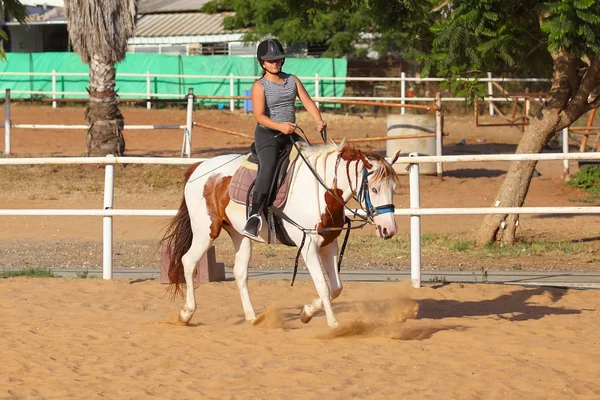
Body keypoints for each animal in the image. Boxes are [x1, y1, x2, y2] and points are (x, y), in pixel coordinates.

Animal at [162, 141, 400, 328]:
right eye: (374, 189)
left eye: (393, 188)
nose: (389, 229)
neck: (320, 191)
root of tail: (198, 167)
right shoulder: (309, 247)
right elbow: (323, 286)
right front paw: (333, 324)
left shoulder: (329, 244)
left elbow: (336, 287)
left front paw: (307, 312)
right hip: (206, 232)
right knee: (188, 261)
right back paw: (186, 313)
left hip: (240, 235)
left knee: (240, 272)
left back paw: (253, 317)